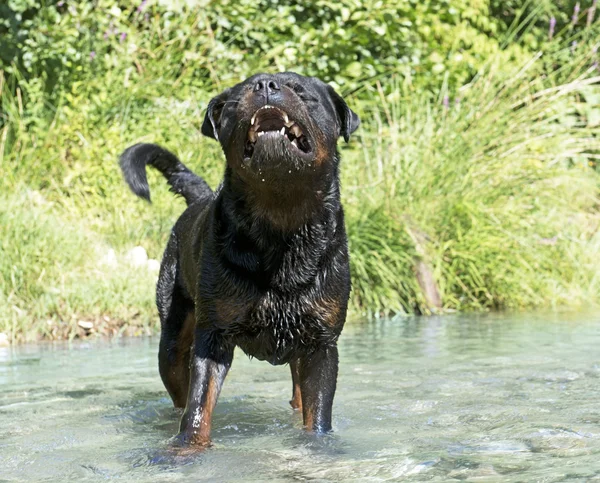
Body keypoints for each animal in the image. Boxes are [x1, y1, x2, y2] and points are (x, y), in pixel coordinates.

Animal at [119, 73, 358, 450]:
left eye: (301, 91)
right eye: (244, 91)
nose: (267, 85)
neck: (280, 224)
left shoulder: (321, 343)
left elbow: (317, 414)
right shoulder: (213, 337)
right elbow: (198, 405)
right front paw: (186, 448)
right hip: (172, 335)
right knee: (177, 384)